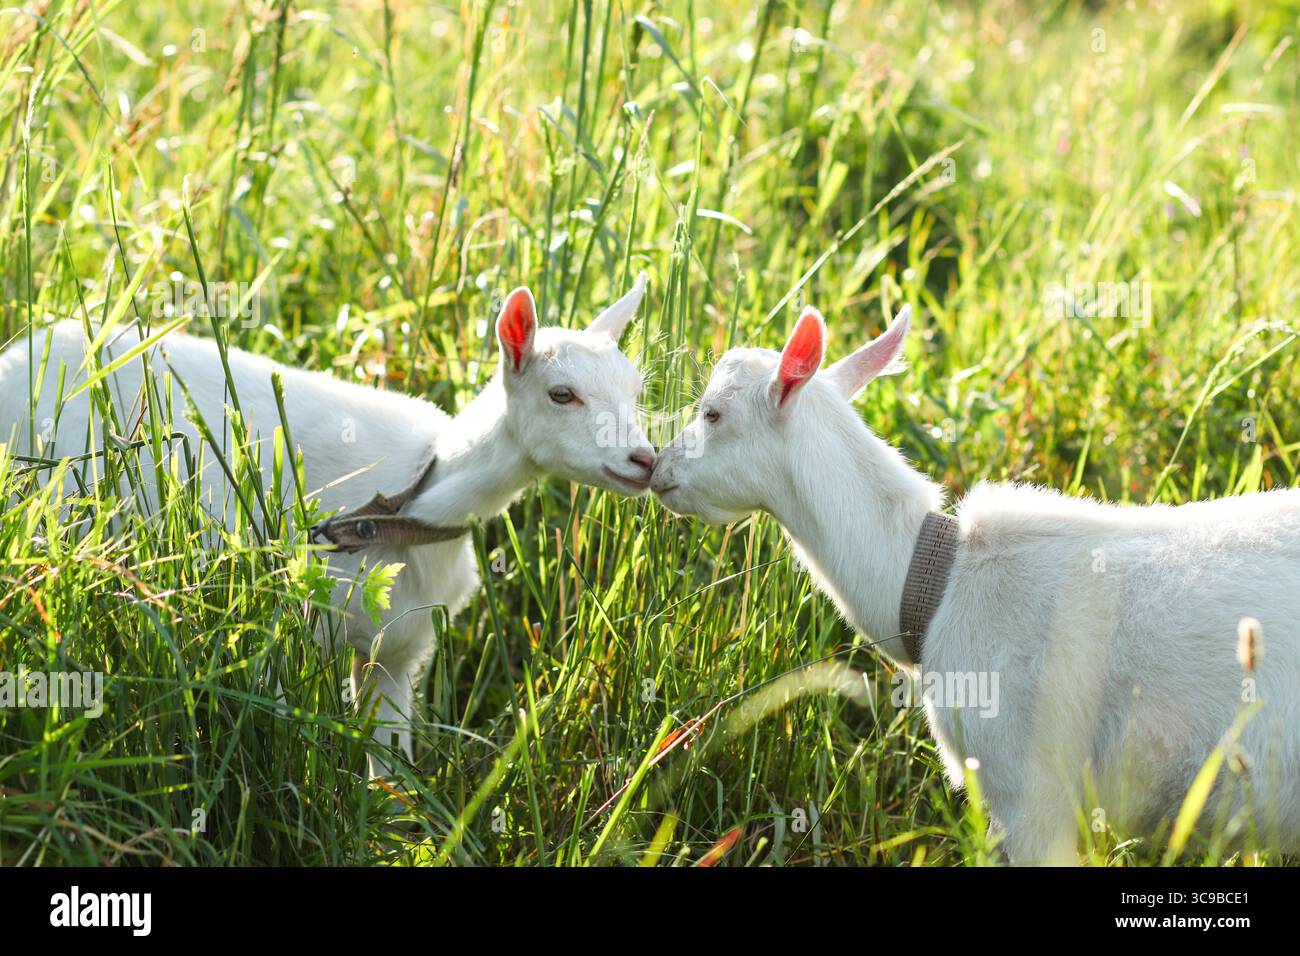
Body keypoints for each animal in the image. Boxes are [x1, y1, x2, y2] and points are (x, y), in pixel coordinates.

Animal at [0, 276, 656, 778]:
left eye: (635, 390)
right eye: (561, 394)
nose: (645, 460)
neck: (413, 503)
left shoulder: (401, 649)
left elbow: (390, 768)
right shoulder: (287, 620)